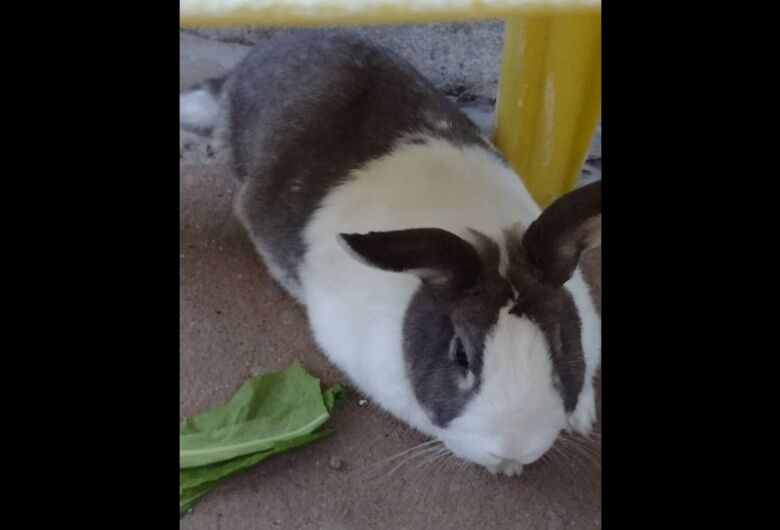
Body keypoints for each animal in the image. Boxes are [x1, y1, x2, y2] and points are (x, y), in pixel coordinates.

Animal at [180, 29, 601, 477]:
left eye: (560, 342)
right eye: (459, 354)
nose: (512, 448)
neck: (487, 238)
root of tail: (245, 68)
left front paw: (579, 420)